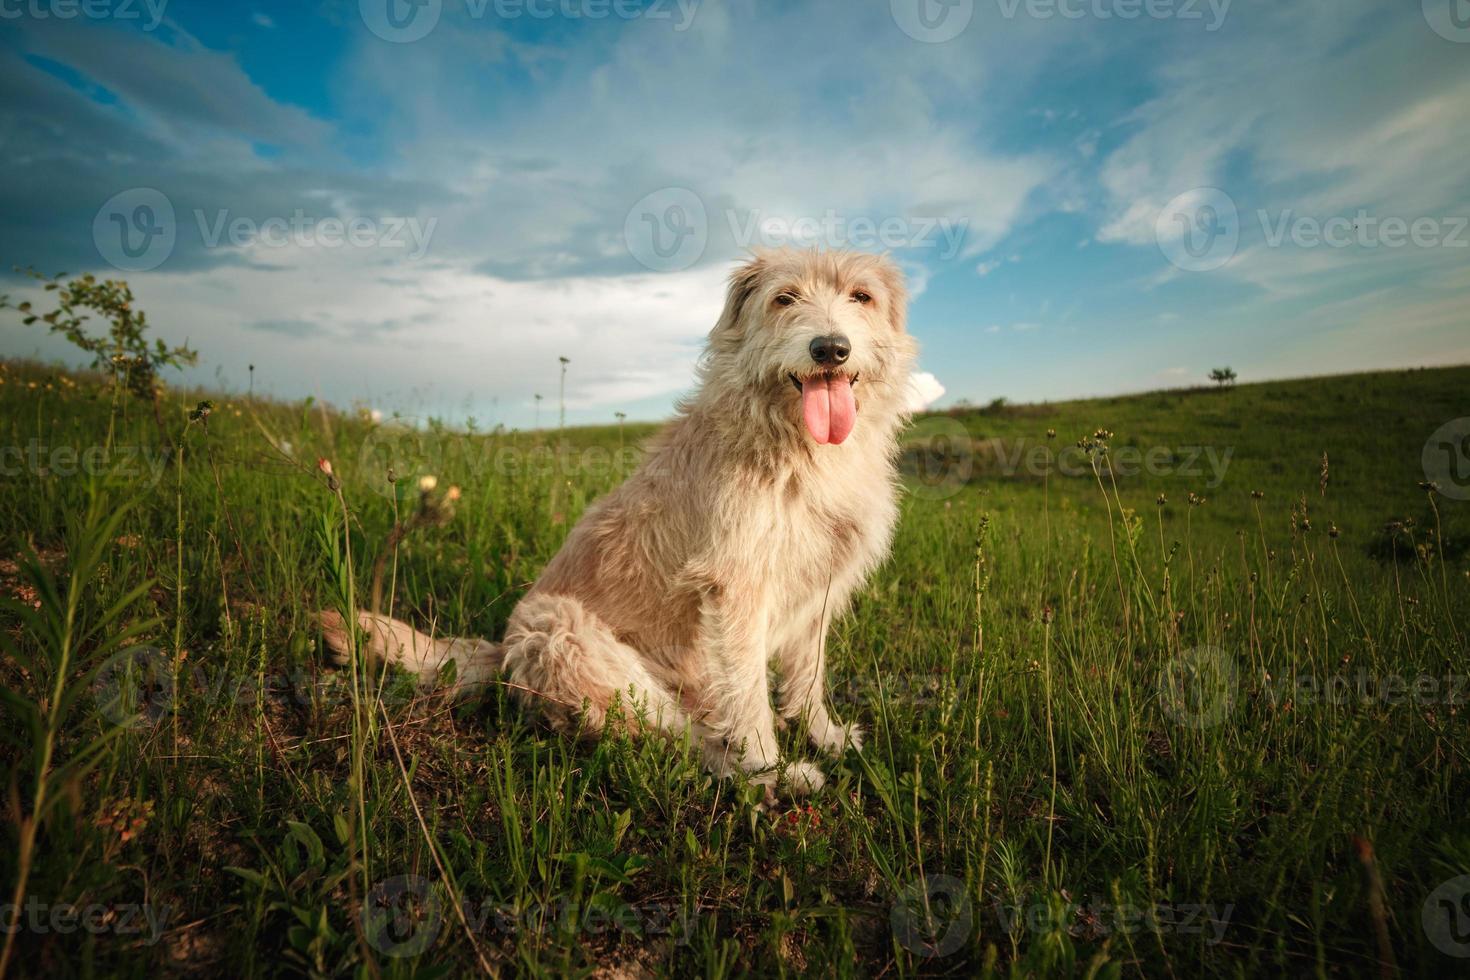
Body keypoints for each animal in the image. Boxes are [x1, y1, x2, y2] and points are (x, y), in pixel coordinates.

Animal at [327, 246, 911, 799]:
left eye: (861, 296)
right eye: (785, 298)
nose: (830, 349)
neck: (803, 452)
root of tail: (500, 651)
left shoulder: (821, 587)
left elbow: (807, 676)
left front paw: (826, 735)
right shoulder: (736, 589)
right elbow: (747, 697)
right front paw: (766, 763)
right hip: (565, 633)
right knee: (685, 737)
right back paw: (763, 778)